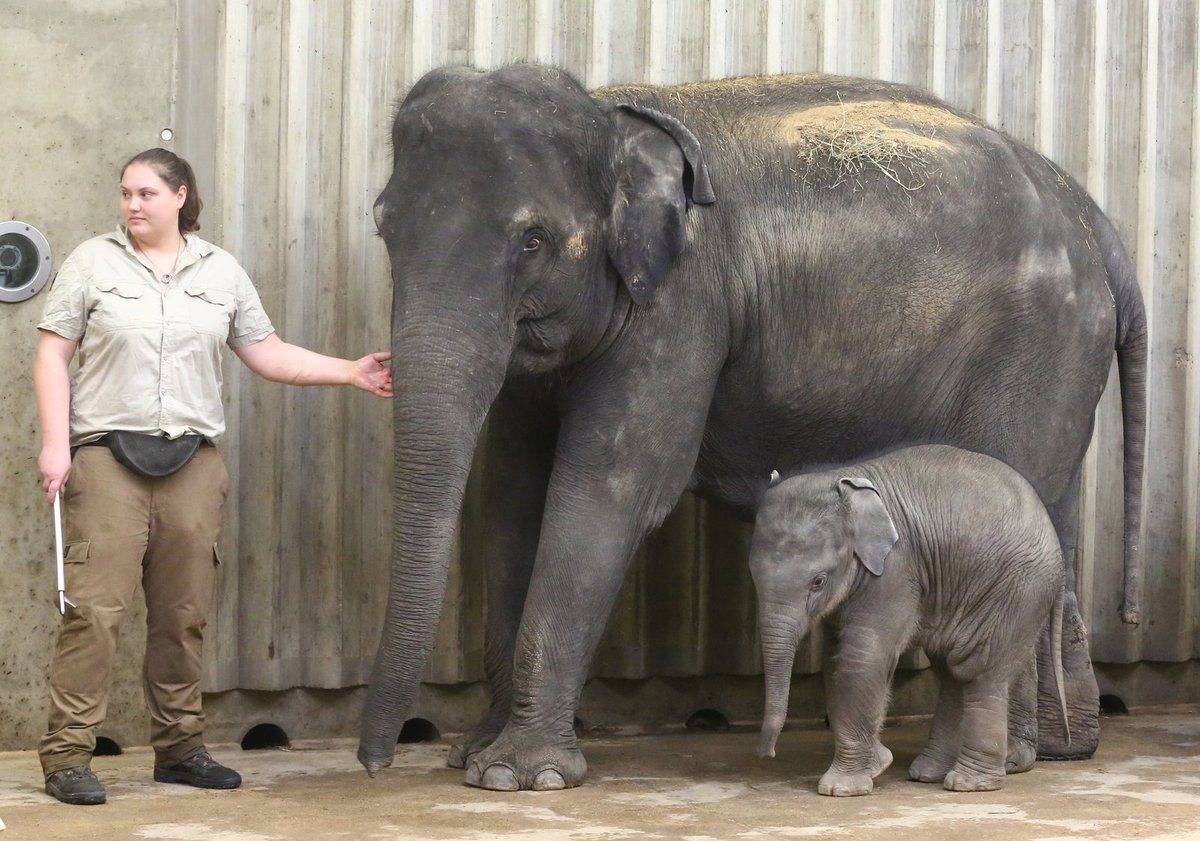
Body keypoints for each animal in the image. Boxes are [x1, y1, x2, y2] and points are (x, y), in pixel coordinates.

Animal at [753, 446, 1065, 791]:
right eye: (752, 576)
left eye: (818, 581)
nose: (768, 754)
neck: (844, 479)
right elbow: (837, 659)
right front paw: (879, 764)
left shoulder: (896, 569)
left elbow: (864, 655)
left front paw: (841, 788)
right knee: (952, 671)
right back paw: (929, 773)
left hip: (1017, 590)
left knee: (977, 670)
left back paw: (968, 783)